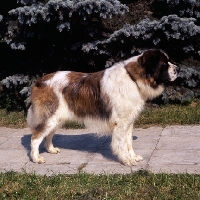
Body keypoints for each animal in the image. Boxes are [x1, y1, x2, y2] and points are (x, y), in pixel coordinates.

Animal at [27, 48, 180, 166]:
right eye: (164, 63)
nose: (178, 69)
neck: (133, 78)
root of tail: (40, 81)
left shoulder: (129, 122)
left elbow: (129, 142)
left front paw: (133, 156)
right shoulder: (121, 124)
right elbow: (122, 143)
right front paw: (127, 160)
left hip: (57, 118)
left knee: (48, 135)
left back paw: (51, 149)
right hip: (50, 117)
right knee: (35, 138)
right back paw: (36, 158)